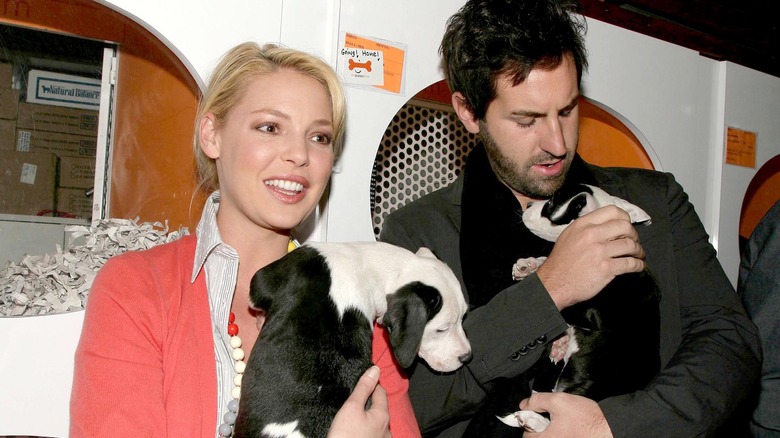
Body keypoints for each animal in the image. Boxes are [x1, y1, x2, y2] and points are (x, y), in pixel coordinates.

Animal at [466, 184, 660, 434]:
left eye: (550, 204)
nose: (529, 204)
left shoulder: (588, 313)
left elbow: (564, 306)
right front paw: (529, 265)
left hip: (581, 395)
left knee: (550, 419)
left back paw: (530, 418)